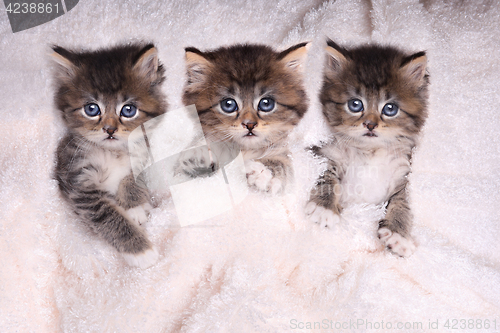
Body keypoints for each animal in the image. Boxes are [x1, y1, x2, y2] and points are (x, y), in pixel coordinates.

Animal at [52, 43, 167, 268]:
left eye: (128, 110)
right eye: (91, 109)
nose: (110, 130)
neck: (114, 152)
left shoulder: (143, 153)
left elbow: (132, 177)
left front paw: (134, 206)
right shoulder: (79, 182)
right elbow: (108, 216)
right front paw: (141, 251)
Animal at [180, 42, 310, 193]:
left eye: (266, 103)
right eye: (228, 104)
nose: (249, 124)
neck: (244, 150)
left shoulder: (282, 151)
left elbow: (282, 163)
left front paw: (263, 173)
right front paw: (198, 156)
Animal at [306, 39, 428, 256]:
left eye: (390, 108)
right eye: (355, 105)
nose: (370, 125)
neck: (370, 151)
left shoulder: (403, 172)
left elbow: (402, 200)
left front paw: (398, 234)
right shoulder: (324, 153)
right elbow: (325, 176)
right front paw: (324, 209)